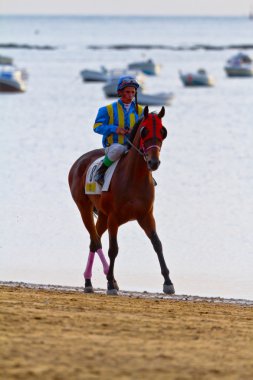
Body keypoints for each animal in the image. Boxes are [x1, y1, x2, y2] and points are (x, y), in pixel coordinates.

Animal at [69, 105, 176, 296]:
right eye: (144, 131)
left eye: (163, 131)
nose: (154, 162)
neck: (134, 178)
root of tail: (79, 161)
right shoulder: (114, 218)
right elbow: (113, 249)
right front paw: (110, 284)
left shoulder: (146, 216)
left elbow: (157, 244)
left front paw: (168, 282)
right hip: (84, 209)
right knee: (96, 241)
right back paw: (98, 280)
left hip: (102, 215)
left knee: (93, 242)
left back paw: (90, 281)